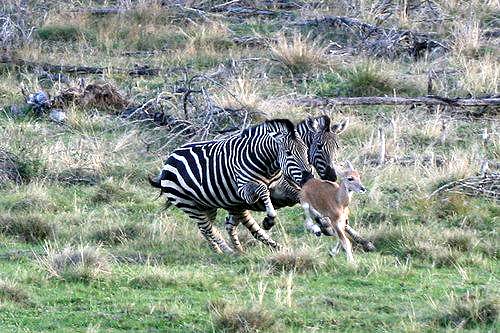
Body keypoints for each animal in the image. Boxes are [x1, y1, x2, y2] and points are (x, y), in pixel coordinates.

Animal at [148, 118, 312, 253]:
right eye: (288, 153)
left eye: (306, 150)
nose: (308, 177)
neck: (266, 165)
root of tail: (169, 159)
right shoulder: (245, 192)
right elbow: (262, 189)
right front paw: (269, 219)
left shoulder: (279, 187)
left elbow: (294, 194)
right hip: (188, 204)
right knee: (208, 228)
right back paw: (227, 251)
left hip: (207, 204)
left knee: (208, 227)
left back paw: (222, 250)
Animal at [225, 115, 374, 252]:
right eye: (319, 146)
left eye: (337, 147)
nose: (331, 177)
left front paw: (364, 242)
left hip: (238, 207)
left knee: (230, 224)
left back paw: (235, 250)